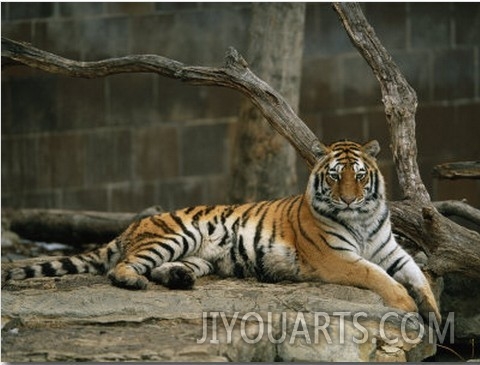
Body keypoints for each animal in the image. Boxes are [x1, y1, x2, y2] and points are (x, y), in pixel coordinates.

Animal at [4, 139, 438, 322]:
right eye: (334, 177)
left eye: (359, 176)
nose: (348, 199)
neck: (362, 218)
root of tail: (133, 224)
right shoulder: (337, 258)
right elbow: (377, 276)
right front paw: (405, 305)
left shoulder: (391, 250)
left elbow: (418, 274)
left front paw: (432, 310)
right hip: (177, 235)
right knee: (121, 267)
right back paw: (133, 282)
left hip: (199, 256)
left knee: (163, 269)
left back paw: (178, 279)